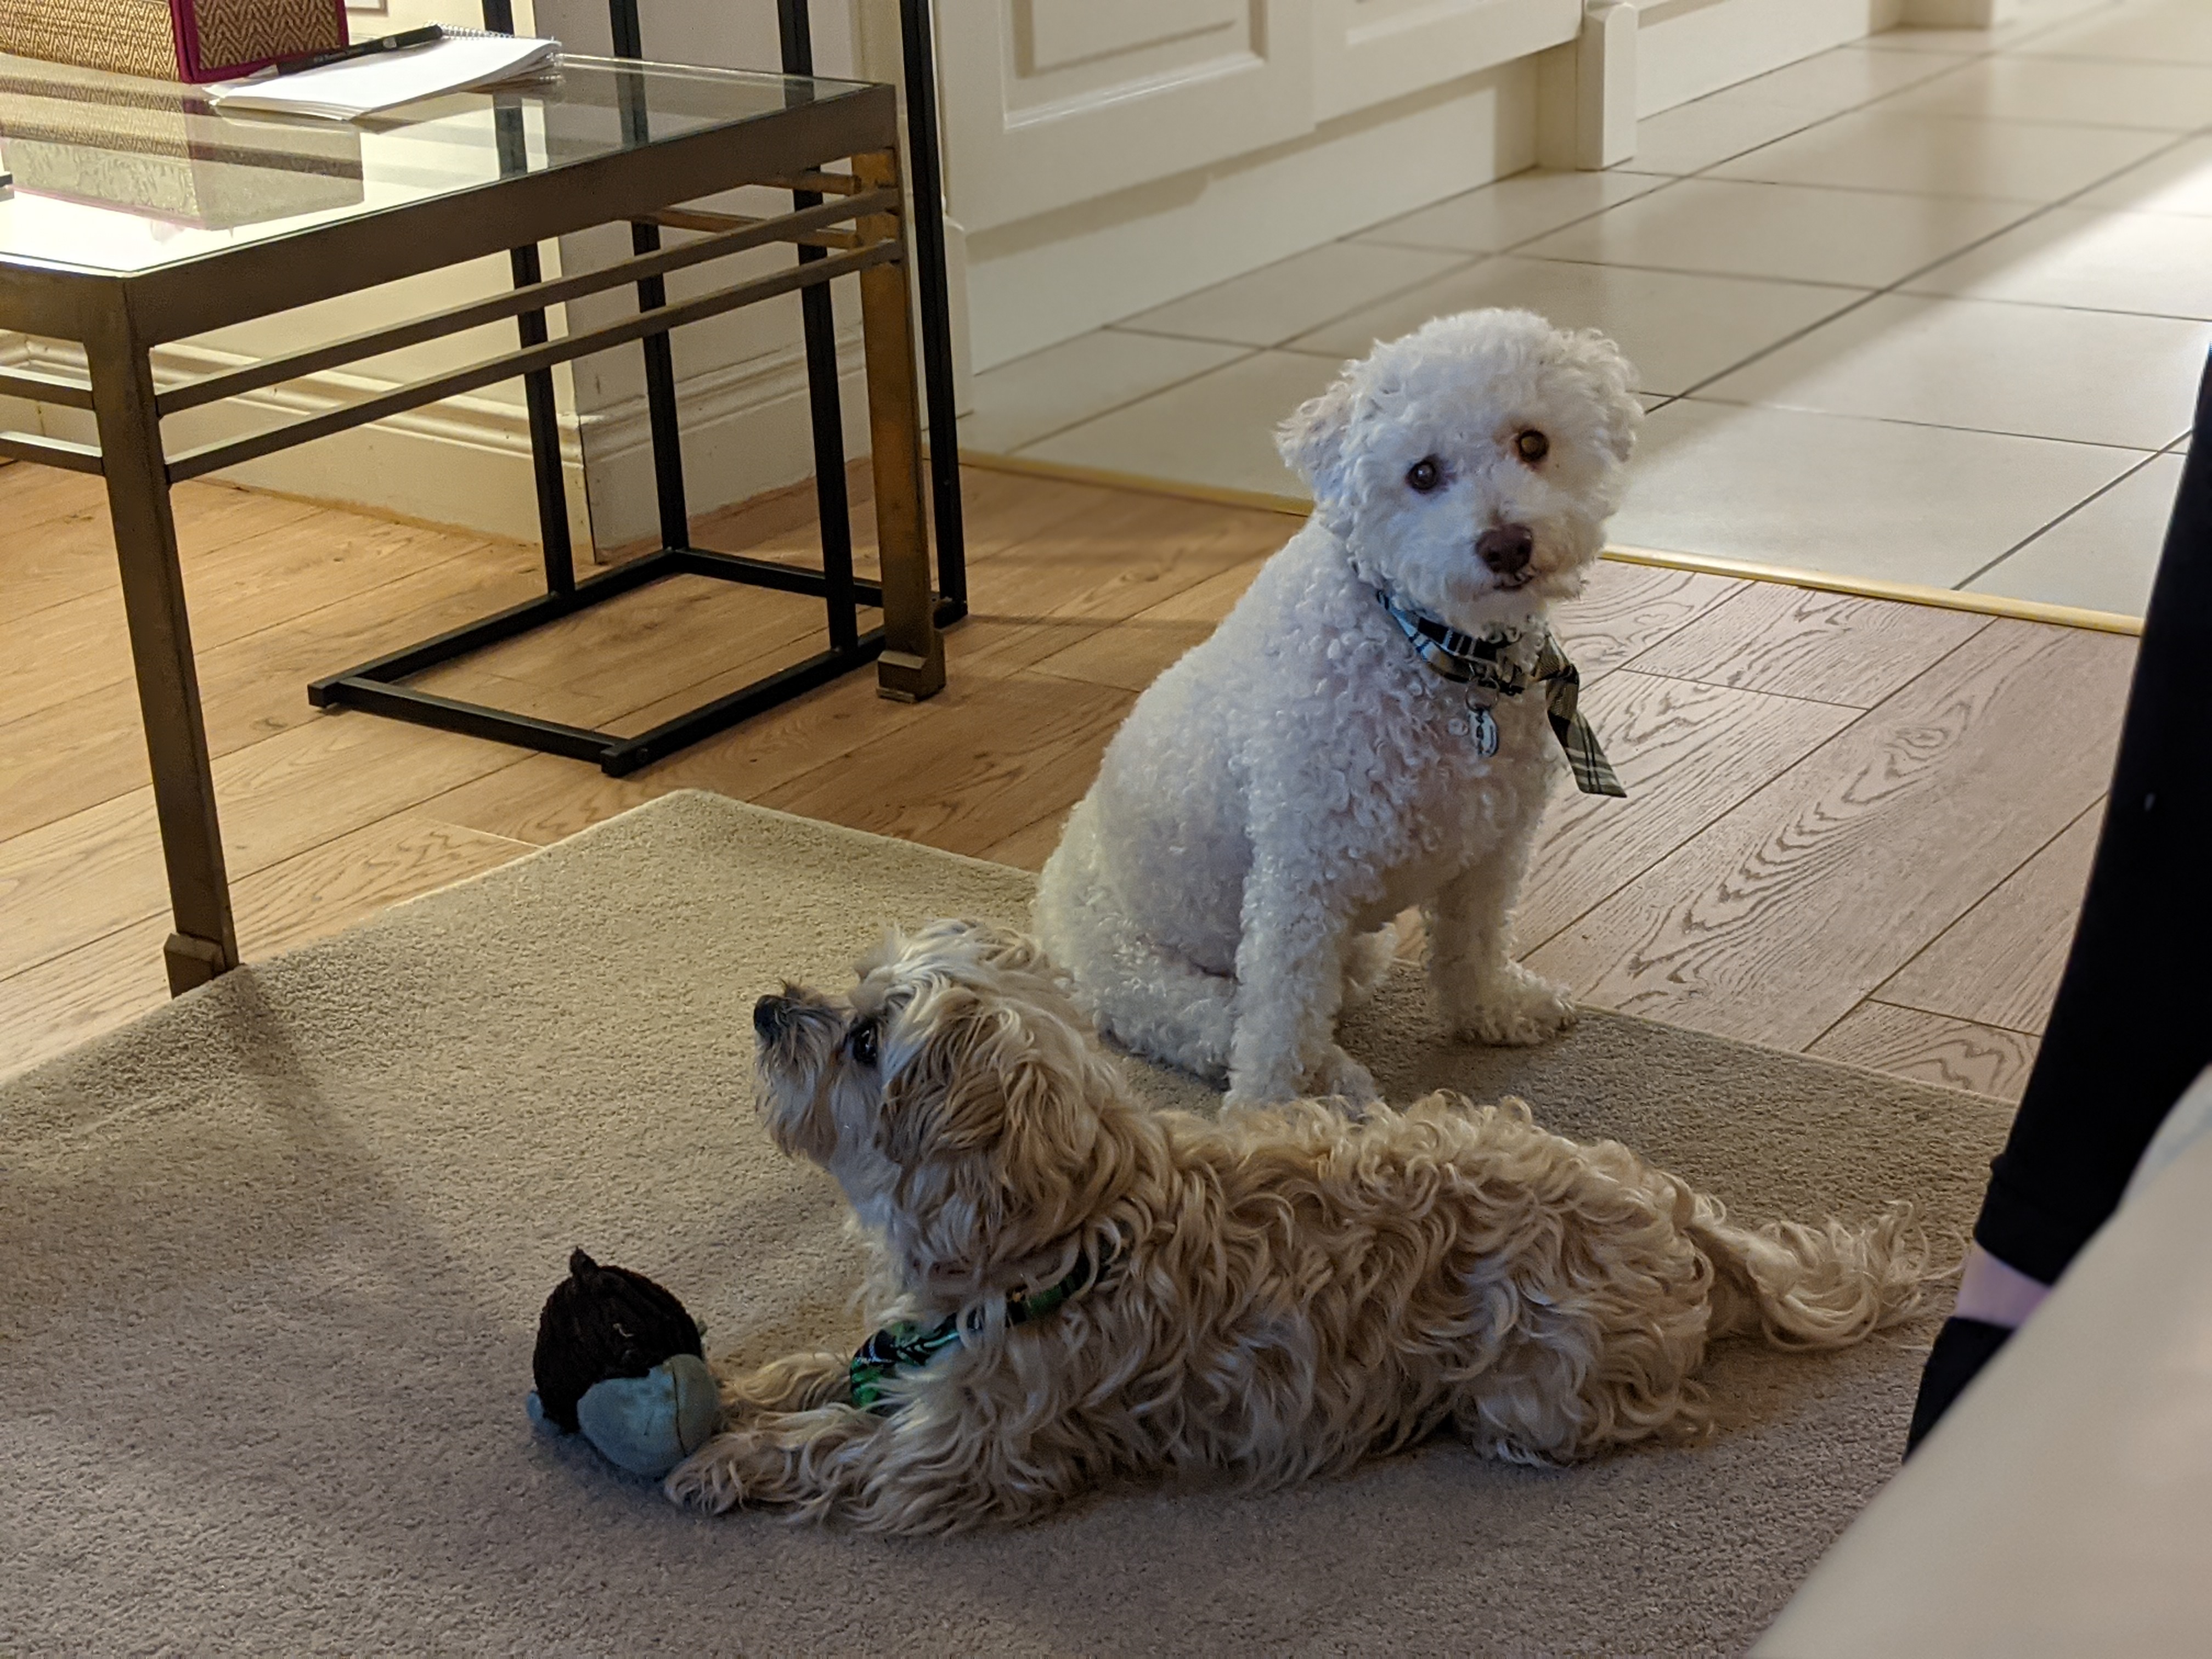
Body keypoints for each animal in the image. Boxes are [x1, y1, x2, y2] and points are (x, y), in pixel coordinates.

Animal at [663, 924, 1928, 1531]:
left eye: (866, 1040)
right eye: (851, 992)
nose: (768, 1006)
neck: (1063, 1228)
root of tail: (1670, 1207)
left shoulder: (962, 1457)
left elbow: (836, 1445)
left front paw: (721, 1458)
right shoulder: (913, 1350)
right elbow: (830, 1369)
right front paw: (749, 1386)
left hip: (1537, 1393)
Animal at [1026, 312, 1637, 1119]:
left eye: (1533, 443)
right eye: (1422, 473)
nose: (1507, 545)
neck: (1431, 646)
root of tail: (1050, 889)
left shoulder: (1493, 850)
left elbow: (1472, 946)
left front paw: (1495, 1011)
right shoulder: (1302, 878)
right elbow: (1280, 1019)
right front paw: (1266, 1118)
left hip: (1361, 950)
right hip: (1149, 978)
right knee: (1229, 1026)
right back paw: (1327, 1085)